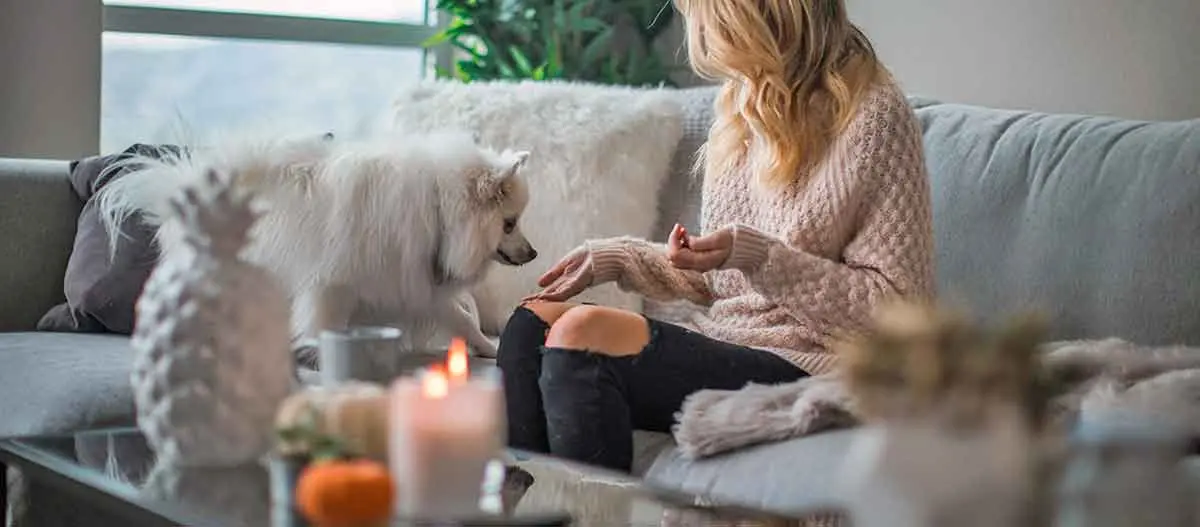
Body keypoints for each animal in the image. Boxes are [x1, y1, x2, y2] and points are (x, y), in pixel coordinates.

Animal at [96, 130, 537, 360]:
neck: (437, 208)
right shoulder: (334, 284)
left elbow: (461, 319)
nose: (533, 253)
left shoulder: (412, 282)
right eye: (509, 223)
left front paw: (488, 348)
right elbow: (324, 324)